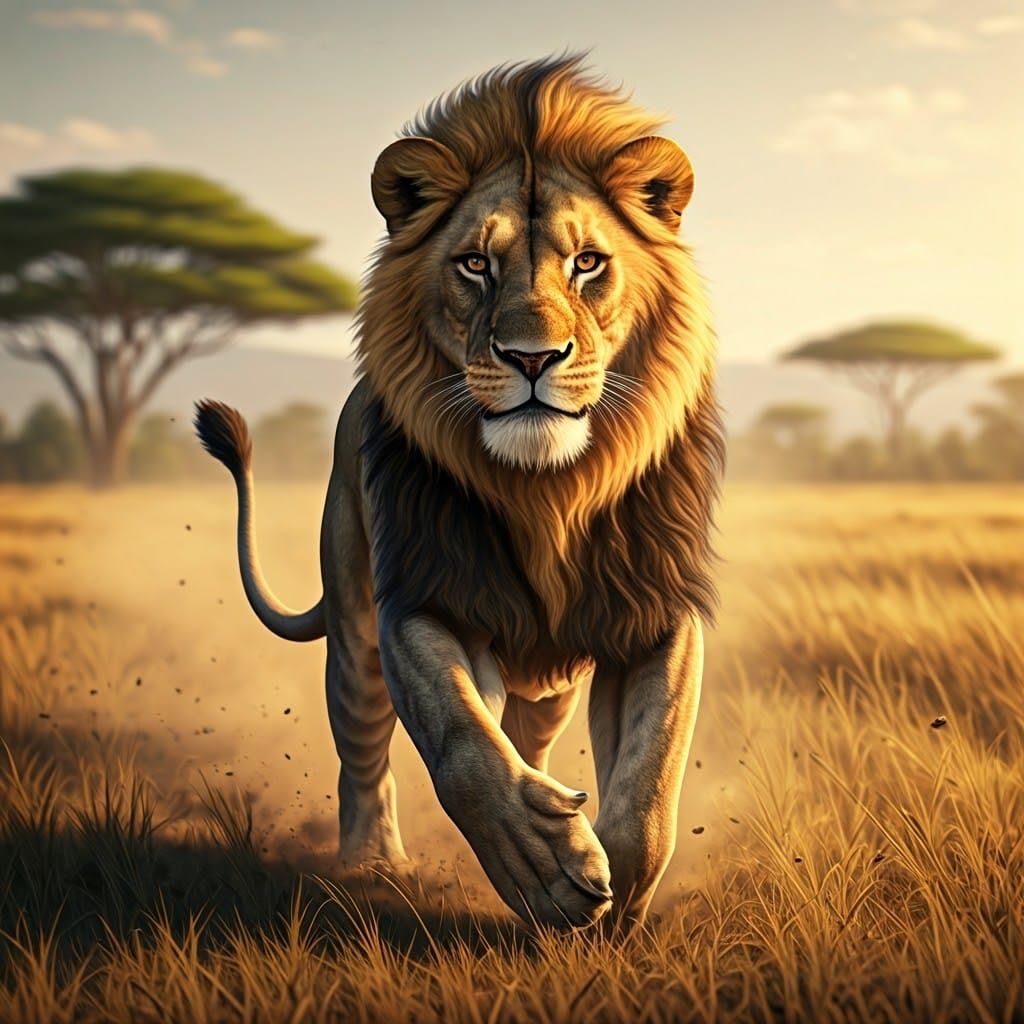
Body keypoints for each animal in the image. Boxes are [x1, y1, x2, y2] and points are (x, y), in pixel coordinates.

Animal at [195, 55, 723, 931]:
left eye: (587, 263)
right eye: (476, 264)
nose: (532, 358)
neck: (547, 492)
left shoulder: (651, 607)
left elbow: (653, 769)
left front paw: (617, 889)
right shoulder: (427, 600)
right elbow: (465, 742)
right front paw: (543, 864)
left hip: (552, 680)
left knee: (533, 732)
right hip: (356, 633)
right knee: (366, 752)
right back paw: (373, 863)